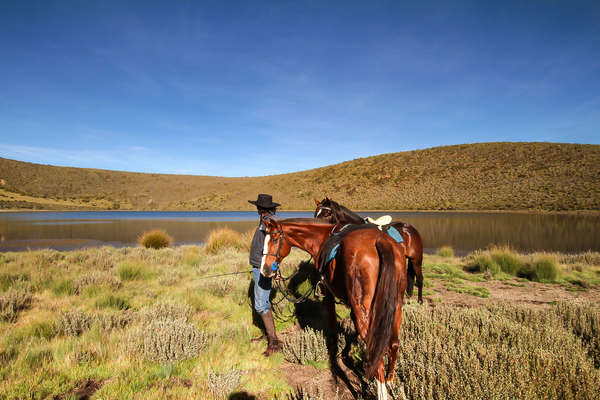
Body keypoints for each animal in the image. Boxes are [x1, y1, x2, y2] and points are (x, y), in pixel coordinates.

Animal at [260, 219, 406, 400]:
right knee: (393, 345)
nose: (265, 270)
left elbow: (332, 326)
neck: (321, 239)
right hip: (395, 306)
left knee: (377, 356)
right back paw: (391, 380)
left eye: (274, 240)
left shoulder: (327, 292)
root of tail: (381, 241)